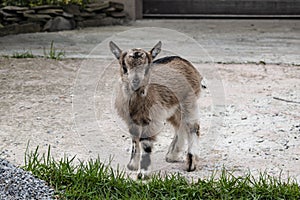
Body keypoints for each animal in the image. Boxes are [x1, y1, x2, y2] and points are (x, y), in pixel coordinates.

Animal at [109, 41, 203, 177]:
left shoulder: (151, 120)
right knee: (180, 126)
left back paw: (190, 164)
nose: (136, 82)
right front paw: (132, 165)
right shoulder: (132, 121)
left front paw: (143, 173)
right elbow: (134, 140)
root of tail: (186, 63)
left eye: (147, 68)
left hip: (188, 102)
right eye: (124, 67)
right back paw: (172, 156)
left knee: (192, 126)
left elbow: (146, 144)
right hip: (174, 110)